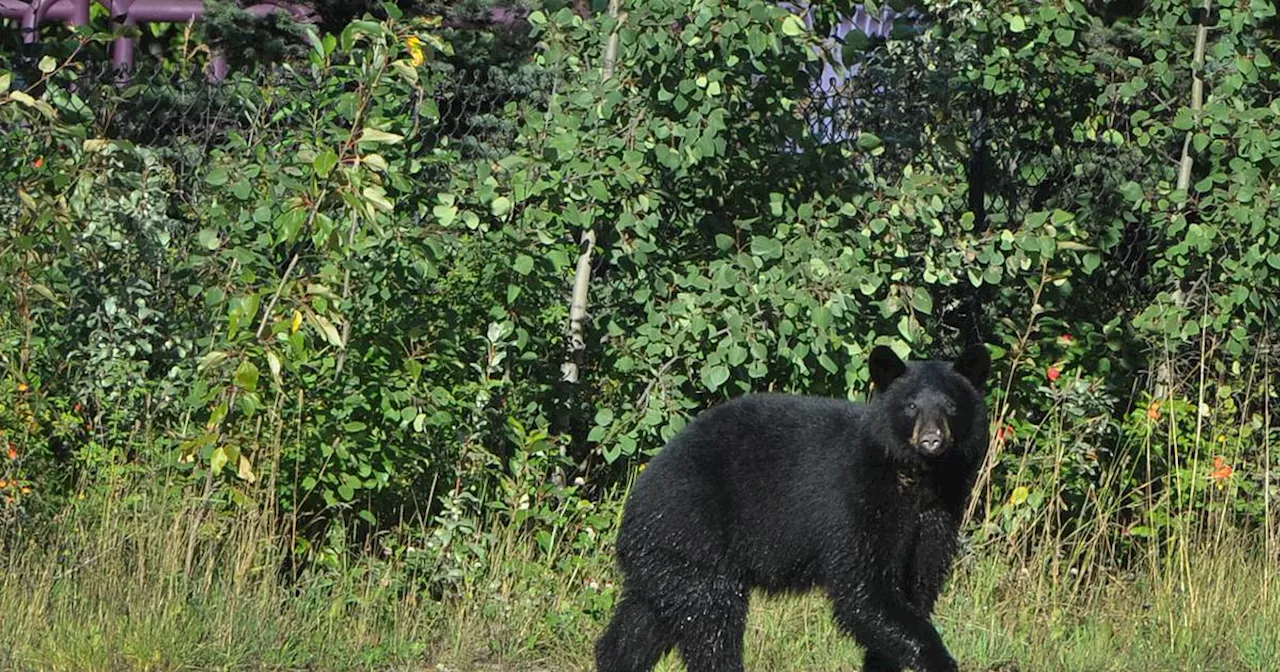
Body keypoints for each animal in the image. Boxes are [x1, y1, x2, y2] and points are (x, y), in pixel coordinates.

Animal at [596, 345, 988, 670]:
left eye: (951, 407)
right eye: (911, 407)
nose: (932, 440)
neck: (917, 479)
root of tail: (640, 492)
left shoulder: (938, 514)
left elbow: (918, 586)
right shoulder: (856, 504)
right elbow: (865, 592)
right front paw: (939, 659)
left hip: (665, 559)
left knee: (640, 626)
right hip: (694, 534)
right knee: (712, 620)